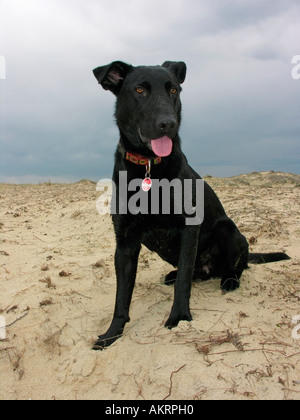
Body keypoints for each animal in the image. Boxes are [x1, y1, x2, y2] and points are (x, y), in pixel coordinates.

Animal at [92, 59, 290, 348]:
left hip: (228, 230)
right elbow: (122, 295)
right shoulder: (125, 241)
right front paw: (112, 333)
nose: (168, 124)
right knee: (195, 273)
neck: (149, 166)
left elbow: (184, 282)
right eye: (139, 90)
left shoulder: (189, 228)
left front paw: (179, 318)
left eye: (173, 90)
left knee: (235, 267)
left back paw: (229, 280)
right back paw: (174, 275)